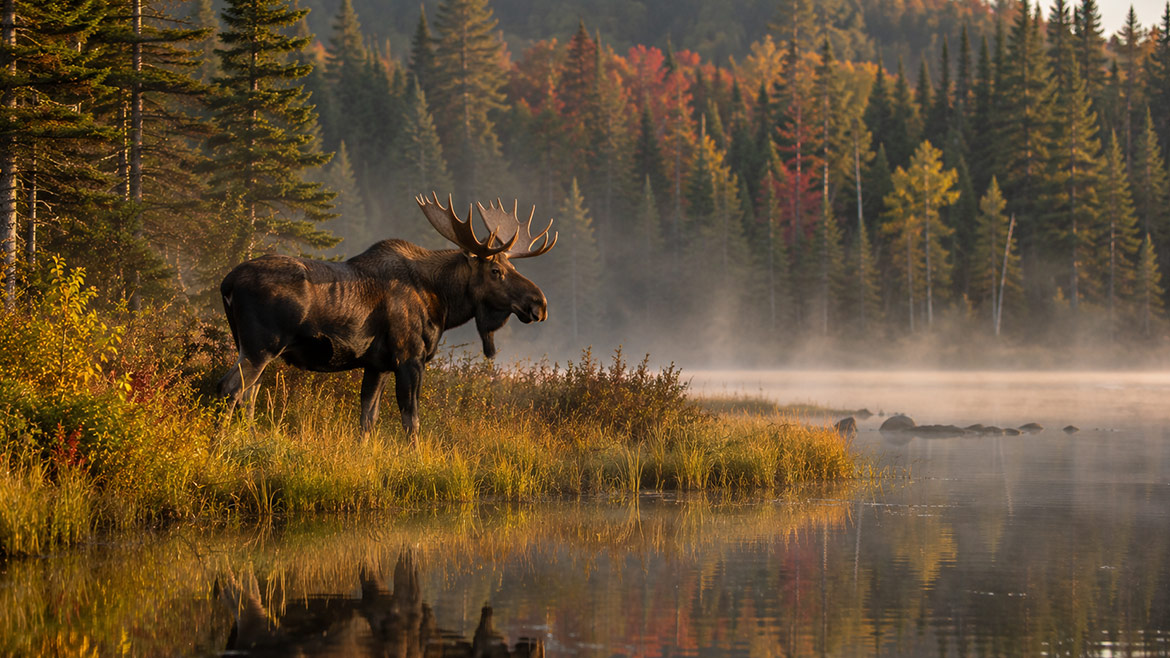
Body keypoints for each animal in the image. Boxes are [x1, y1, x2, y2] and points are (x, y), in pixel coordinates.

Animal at [216, 193, 557, 439]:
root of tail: (227, 282)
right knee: (231, 388)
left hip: (254, 348)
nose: (540, 304)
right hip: (261, 347)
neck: (442, 303)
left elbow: (368, 419)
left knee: (249, 396)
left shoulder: (376, 364)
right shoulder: (409, 358)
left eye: (513, 266)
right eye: (496, 271)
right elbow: (411, 420)